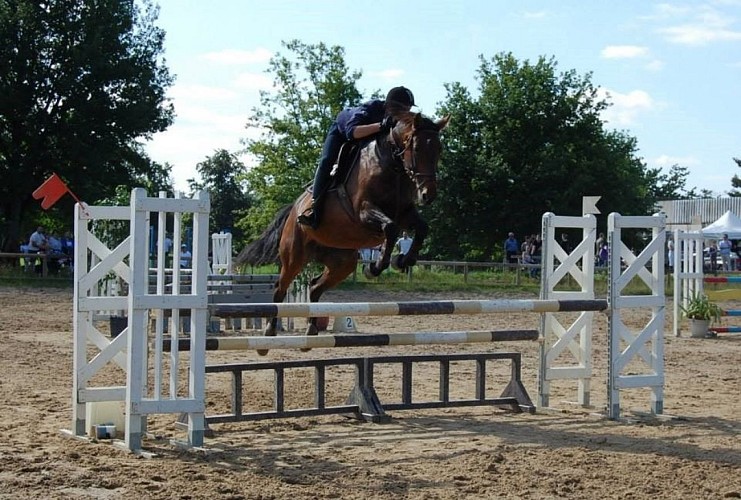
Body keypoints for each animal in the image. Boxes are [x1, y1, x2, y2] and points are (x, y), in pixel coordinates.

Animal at [235, 104, 449, 350]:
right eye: (416, 148)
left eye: (439, 149)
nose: (428, 195)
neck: (392, 166)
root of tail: (293, 209)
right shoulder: (364, 211)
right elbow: (391, 229)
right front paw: (375, 267)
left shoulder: (404, 212)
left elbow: (421, 228)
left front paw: (403, 260)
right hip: (294, 257)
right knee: (280, 287)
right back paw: (269, 334)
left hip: (343, 262)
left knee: (314, 286)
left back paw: (310, 332)